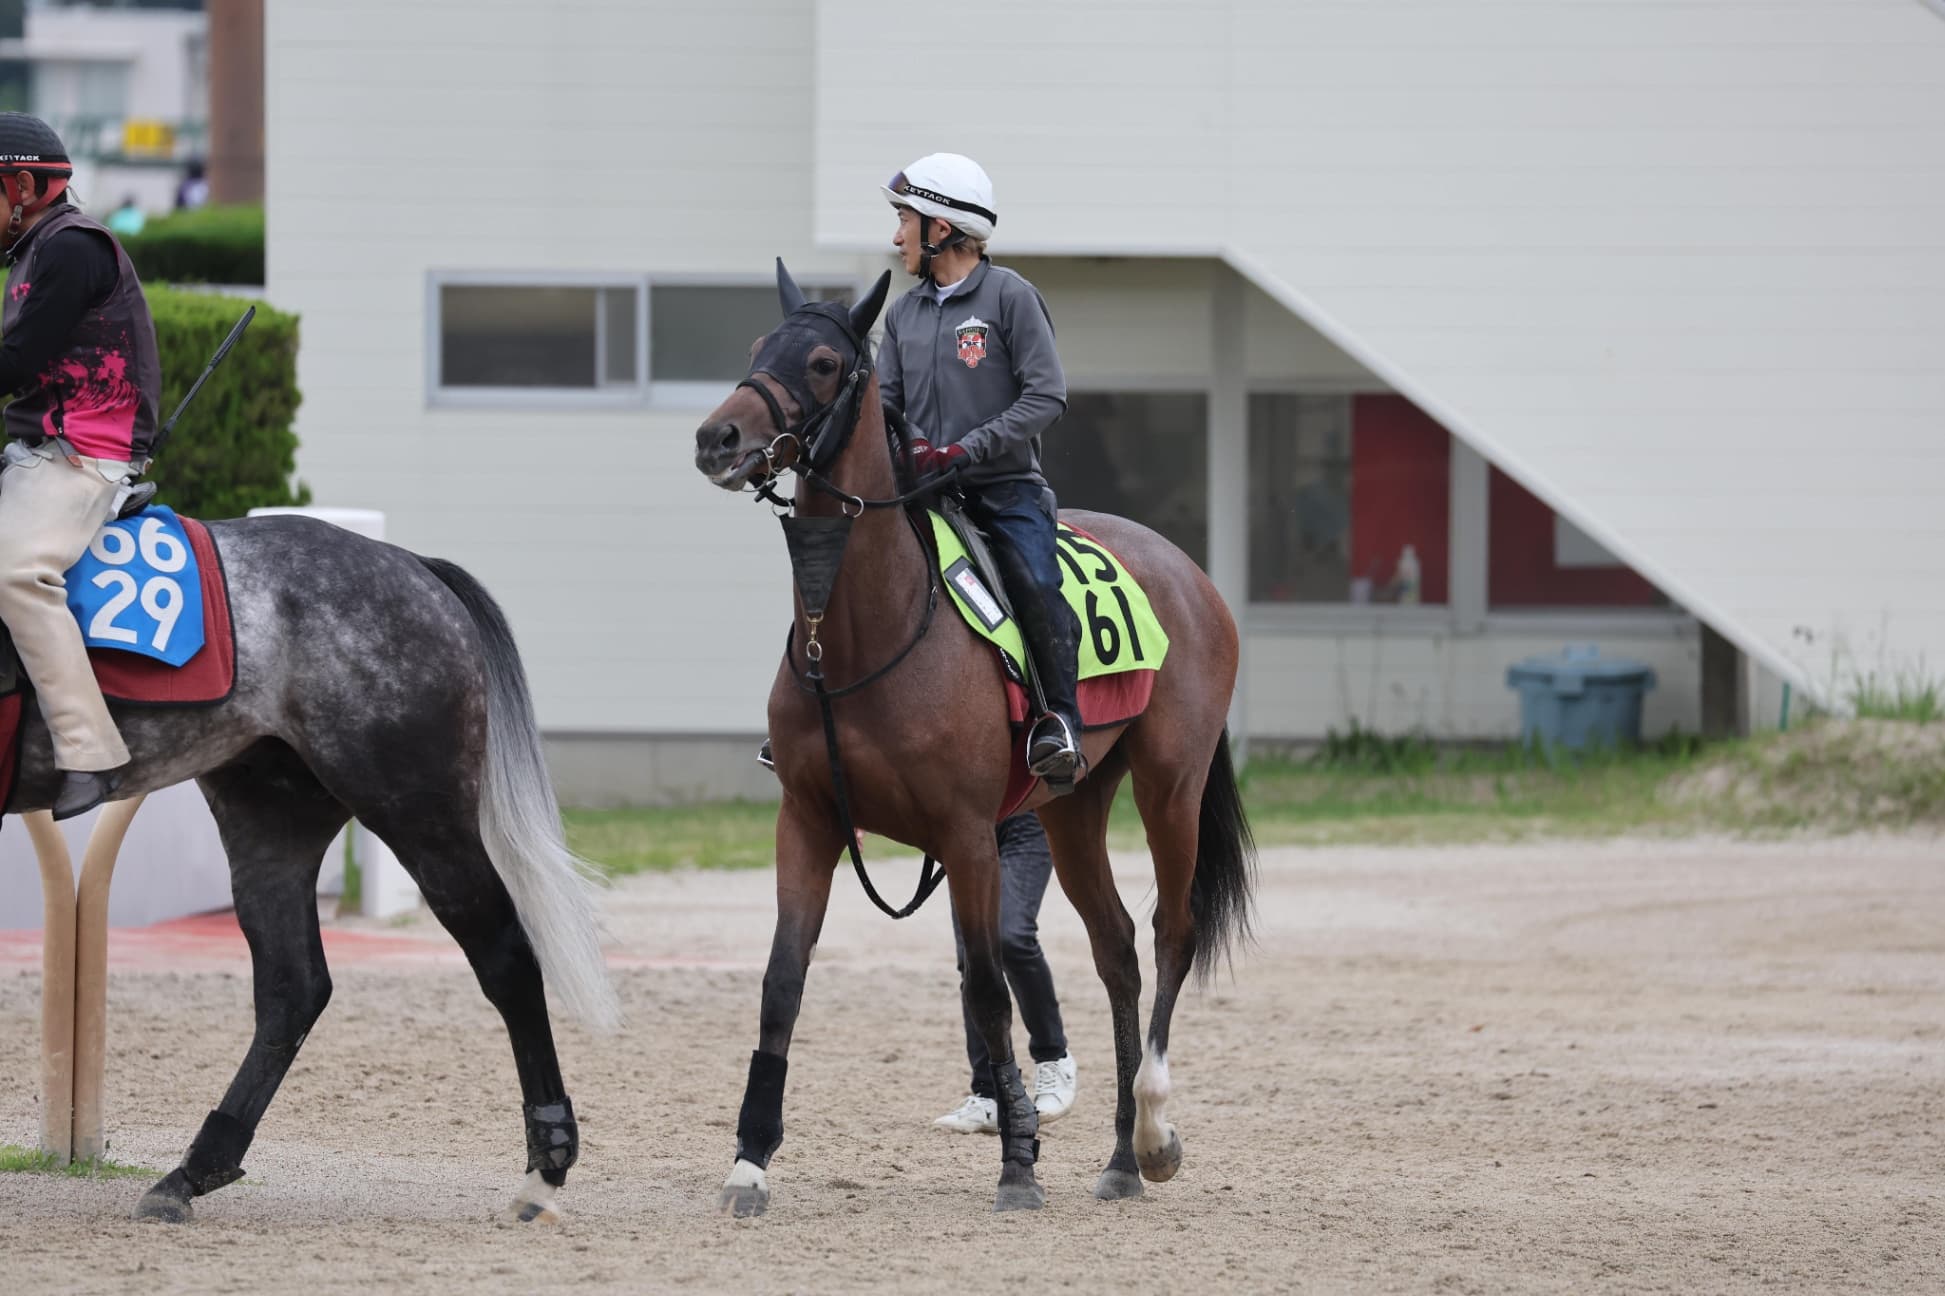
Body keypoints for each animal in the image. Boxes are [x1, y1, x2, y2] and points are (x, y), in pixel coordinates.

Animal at [7, 514, 616, 1223]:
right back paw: (194, 1170)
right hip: (272, 822)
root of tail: (412, 564)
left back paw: (545, 1165)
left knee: (506, 958)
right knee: (293, 988)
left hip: (418, 811)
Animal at [692, 263, 1255, 1215]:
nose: (717, 436)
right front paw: (749, 1160)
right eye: (757, 348)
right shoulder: (806, 818)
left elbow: (991, 991)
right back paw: (1115, 1158)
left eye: (819, 362)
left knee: (1169, 934)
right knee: (1115, 951)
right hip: (1071, 809)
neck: (864, 632)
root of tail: (1188, 570)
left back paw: (1152, 1134)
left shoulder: (966, 836)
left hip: (1168, 785)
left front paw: (1019, 1162)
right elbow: (781, 982)